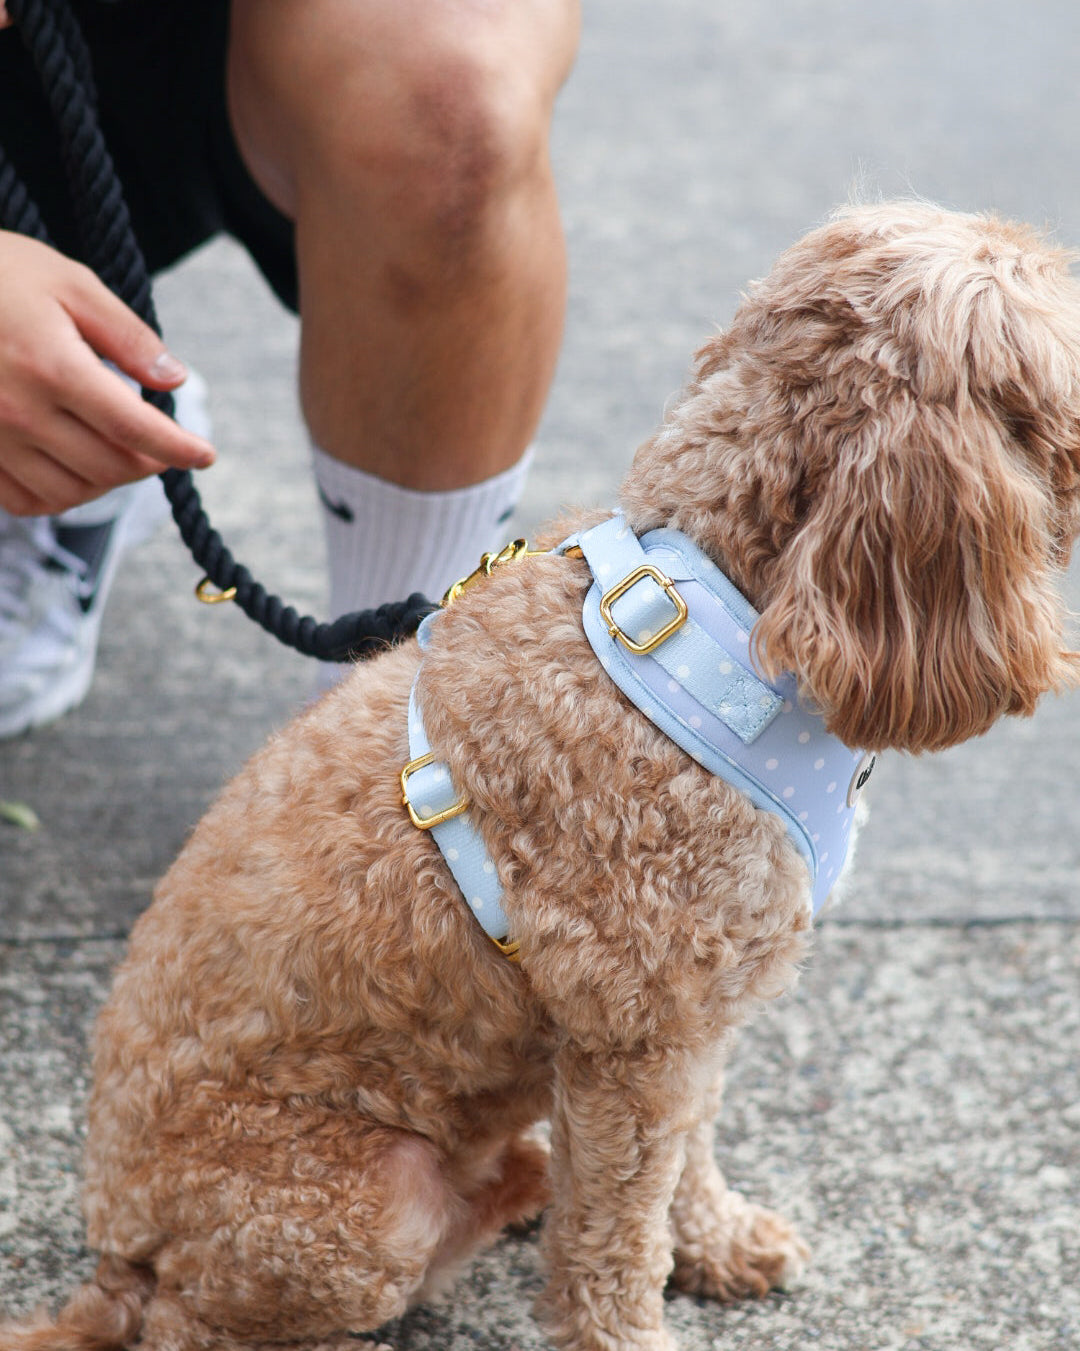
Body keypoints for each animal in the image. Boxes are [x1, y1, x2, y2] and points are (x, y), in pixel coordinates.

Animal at [6, 199, 1080, 1351]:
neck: (717, 612)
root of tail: (116, 1252)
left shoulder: (687, 1025)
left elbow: (687, 1158)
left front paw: (717, 1241)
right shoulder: (635, 1040)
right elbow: (615, 1241)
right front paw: (636, 1318)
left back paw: (517, 1180)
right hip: (351, 1203)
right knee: (200, 1321)